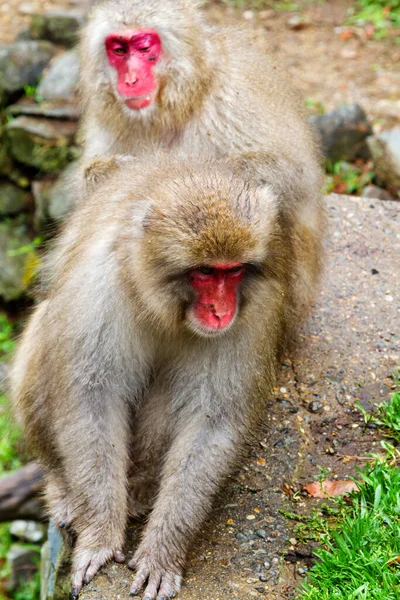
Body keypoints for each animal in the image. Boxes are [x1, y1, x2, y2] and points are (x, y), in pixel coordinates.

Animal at [11, 156, 324, 600]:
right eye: (205, 272)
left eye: (233, 271)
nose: (220, 311)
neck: (162, 305)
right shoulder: (100, 287)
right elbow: (92, 397)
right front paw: (100, 534)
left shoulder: (255, 310)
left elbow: (211, 421)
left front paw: (163, 552)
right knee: (44, 338)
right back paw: (65, 487)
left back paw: (141, 489)